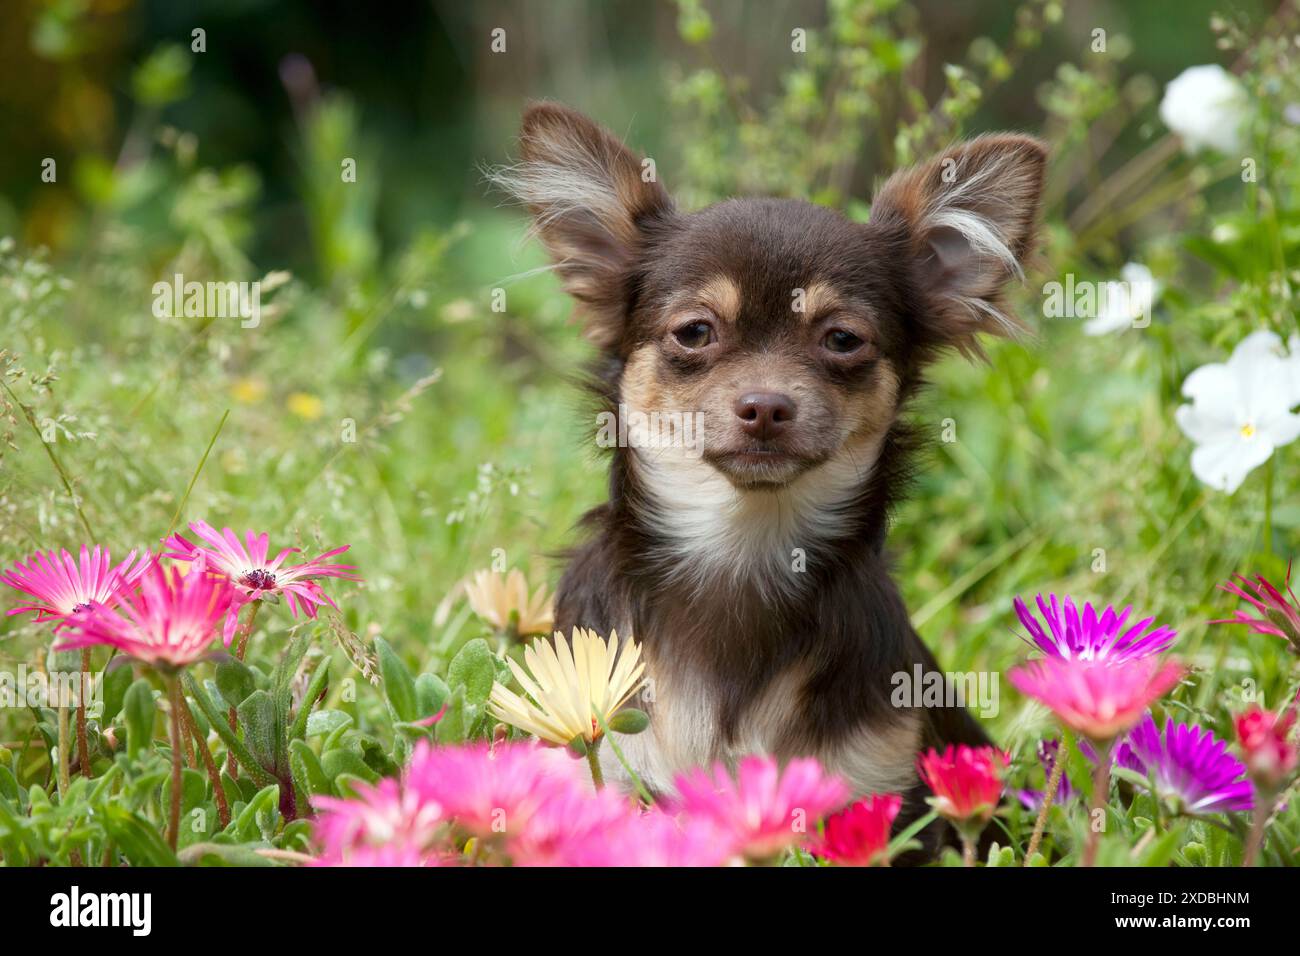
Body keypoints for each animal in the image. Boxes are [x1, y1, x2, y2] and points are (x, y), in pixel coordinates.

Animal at [488, 102, 1045, 853]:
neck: (741, 555)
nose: (767, 406)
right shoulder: (603, 765)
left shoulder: (885, 791)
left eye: (842, 340)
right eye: (695, 332)